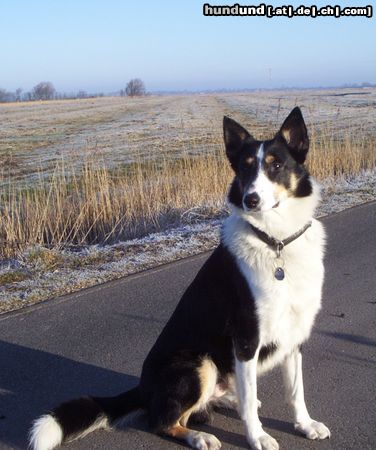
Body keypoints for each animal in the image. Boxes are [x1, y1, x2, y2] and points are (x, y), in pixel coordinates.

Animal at [30, 108, 328, 450]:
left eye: (276, 165)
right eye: (245, 168)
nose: (250, 200)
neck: (275, 241)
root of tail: (143, 387)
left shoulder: (294, 333)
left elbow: (296, 391)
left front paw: (305, 424)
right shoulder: (245, 339)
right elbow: (255, 400)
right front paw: (258, 437)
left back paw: (230, 402)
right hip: (199, 363)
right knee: (163, 421)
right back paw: (200, 435)